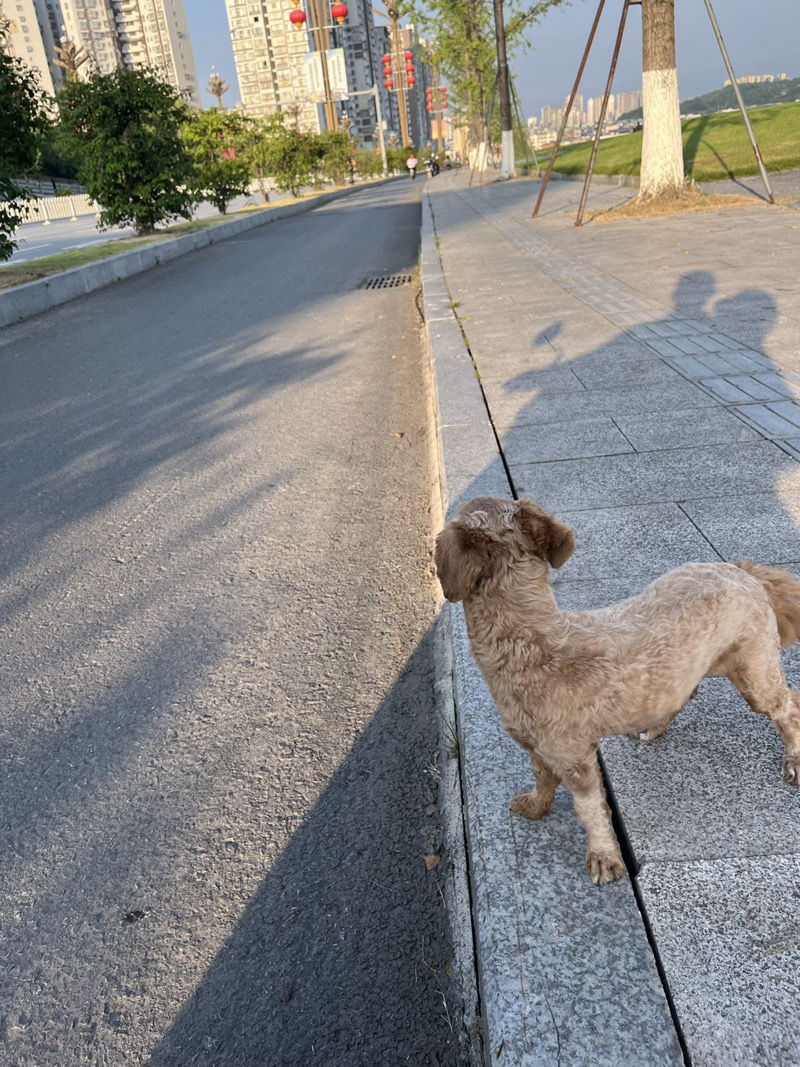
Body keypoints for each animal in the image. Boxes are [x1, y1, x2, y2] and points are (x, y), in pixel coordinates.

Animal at [435, 497, 800, 883]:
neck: (530, 639)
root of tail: (744, 571)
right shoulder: (537, 745)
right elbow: (542, 779)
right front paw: (536, 806)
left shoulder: (575, 758)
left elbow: (590, 808)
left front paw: (603, 856)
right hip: (688, 667)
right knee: (684, 693)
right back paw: (655, 726)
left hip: (754, 670)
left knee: (787, 706)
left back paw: (793, 756)